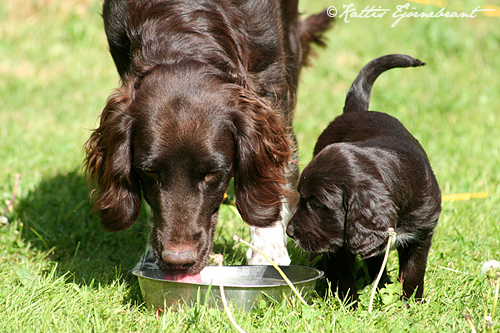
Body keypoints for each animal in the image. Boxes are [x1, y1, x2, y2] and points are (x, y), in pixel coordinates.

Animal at [84, 0, 332, 280]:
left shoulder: (272, 83)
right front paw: (149, 259)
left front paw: (268, 256)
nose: (178, 261)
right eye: (149, 171)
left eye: (213, 173)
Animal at [286, 53, 442, 300]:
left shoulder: (422, 233)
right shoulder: (340, 240)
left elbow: (413, 272)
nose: (289, 232)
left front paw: (411, 303)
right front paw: (349, 305)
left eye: (317, 204)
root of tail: (354, 111)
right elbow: (344, 275)